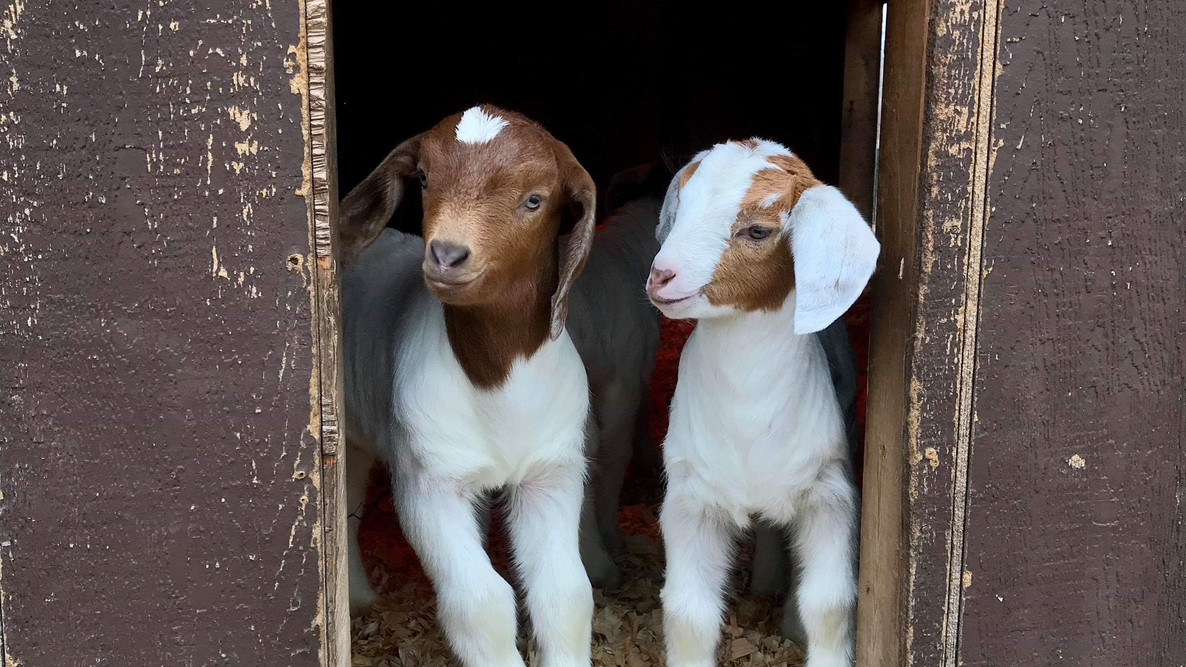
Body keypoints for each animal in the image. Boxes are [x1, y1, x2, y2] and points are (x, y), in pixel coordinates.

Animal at [339, 106, 598, 667]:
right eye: (424, 178)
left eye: (534, 199)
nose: (447, 254)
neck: (495, 380)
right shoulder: (429, 478)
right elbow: (480, 603)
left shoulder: (552, 472)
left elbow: (567, 595)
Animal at [646, 139, 879, 667]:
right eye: (680, 211)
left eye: (757, 230)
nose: (661, 276)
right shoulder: (689, 498)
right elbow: (687, 613)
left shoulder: (829, 492)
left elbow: (829, 602)